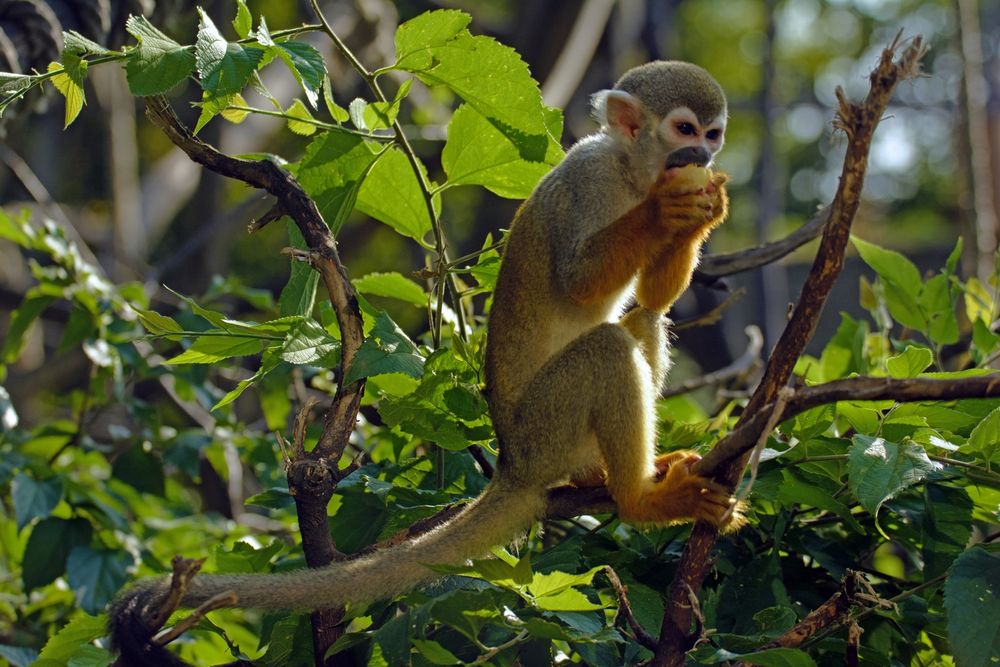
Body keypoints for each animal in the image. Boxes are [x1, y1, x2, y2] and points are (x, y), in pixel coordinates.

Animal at [109, 60, 740, 664]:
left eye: (713, 134)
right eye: (685, 130)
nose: (706, 155)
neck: (631, 171)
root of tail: (513, 465)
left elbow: (656, 298)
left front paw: (704, 209)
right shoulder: (589, 182)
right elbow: (578, 279)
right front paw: (666, 207)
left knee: (643, 322)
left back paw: (616, 476)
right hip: (546, 428)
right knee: (608, 346)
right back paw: (639, 499)